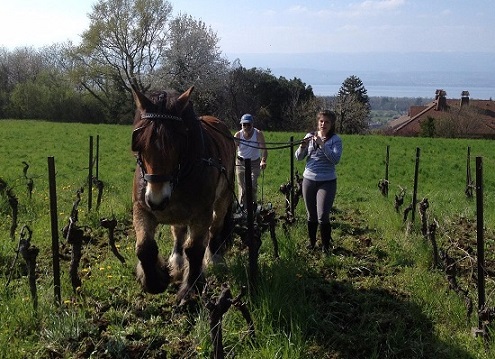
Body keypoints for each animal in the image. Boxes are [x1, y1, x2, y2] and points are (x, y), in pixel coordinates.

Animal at [130, 85, 234, 304]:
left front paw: (190, 290)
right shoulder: (142, 207)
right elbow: (144, 247)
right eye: (139, 142)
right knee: (178, 232)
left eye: (179, 142)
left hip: (222, 200)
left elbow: (194, 249)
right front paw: (156, 280)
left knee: (215, 228)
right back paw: (177, 262)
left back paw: (215, 258)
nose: (157, 200)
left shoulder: (202, 212)